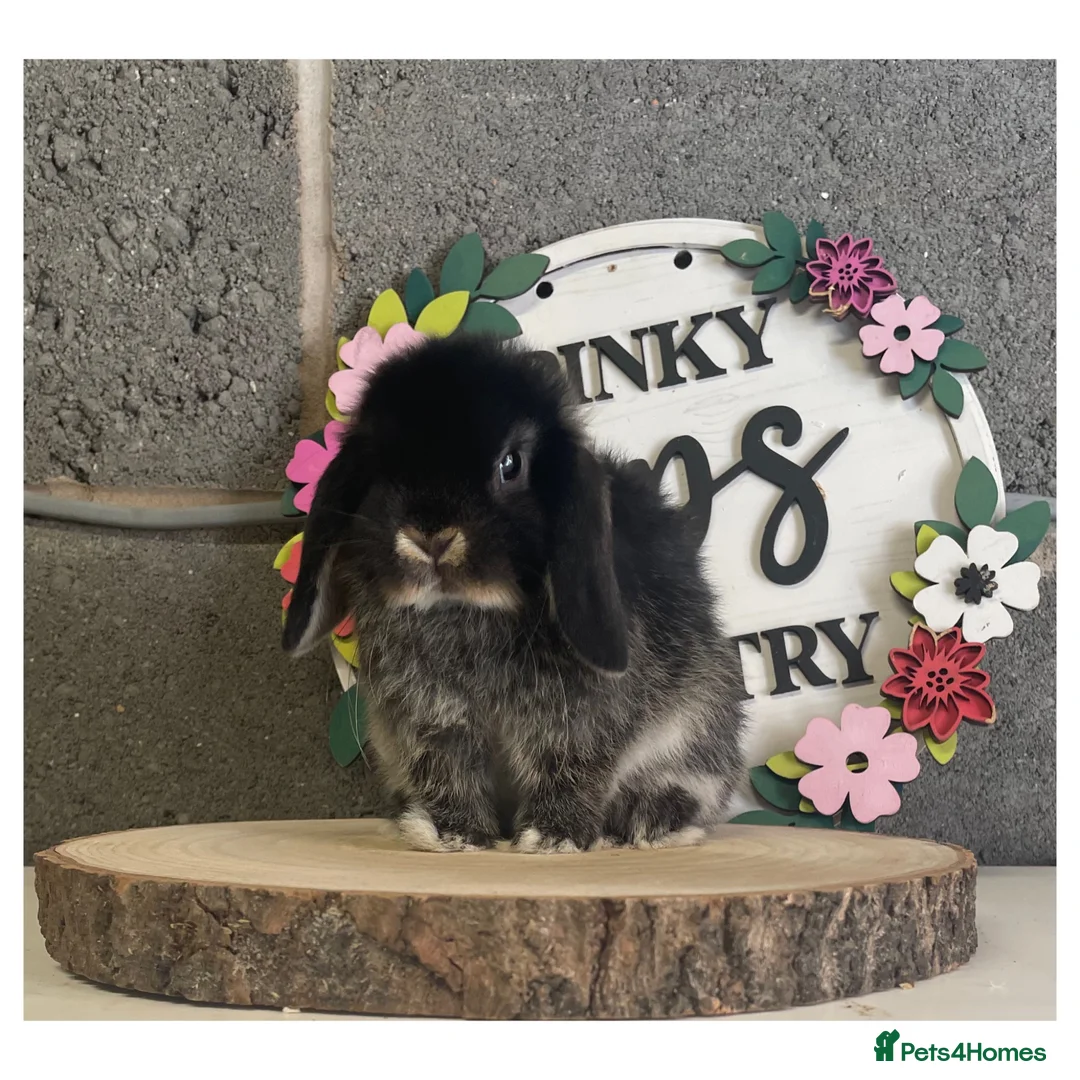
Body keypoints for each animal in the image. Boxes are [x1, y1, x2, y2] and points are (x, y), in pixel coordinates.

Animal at [282, 333, 747, 853]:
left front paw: (553, 838)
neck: (465, 609)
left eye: (511, 464)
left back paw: (650, 822)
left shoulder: (576, 721)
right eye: (379, 470)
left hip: (701, 715)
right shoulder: (434, 719)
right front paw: (454, 835)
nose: (430, 537)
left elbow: (570, 766)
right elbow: (447, 768)